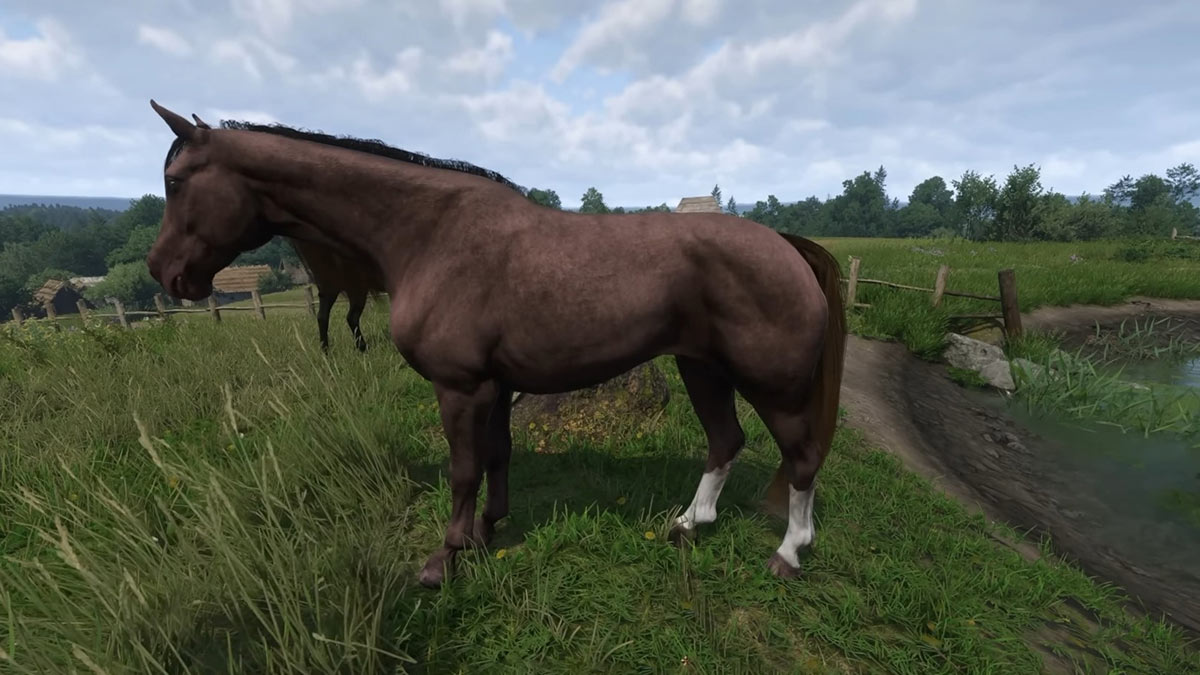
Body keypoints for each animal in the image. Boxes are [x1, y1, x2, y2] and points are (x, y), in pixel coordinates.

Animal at [145, 100, 847, 590]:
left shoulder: (460, 387)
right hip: (702, 370)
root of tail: (788, 247)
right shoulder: (497, 385)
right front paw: (487, 530)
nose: (163, 272)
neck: (429, 235)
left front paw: (446, 557)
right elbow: (498, 458)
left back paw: (789, 554)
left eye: (177, 181)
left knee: (803, 457)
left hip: (774, 386)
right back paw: (686, 526)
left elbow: (465, 469)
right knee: (725, 442)